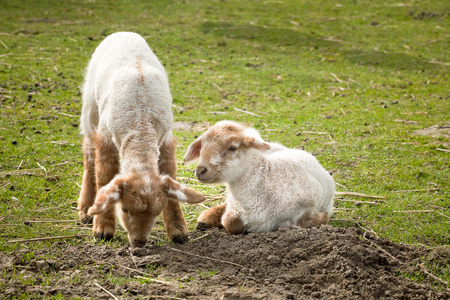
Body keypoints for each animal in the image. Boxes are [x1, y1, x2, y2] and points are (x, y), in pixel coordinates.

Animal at [78, 32, 206, 247]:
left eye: (157, 212)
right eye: (124, 208)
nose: (139, 242)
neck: (141, 126)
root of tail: (123, 32)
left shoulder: (165, 139)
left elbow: (170, 174)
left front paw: (178, 231)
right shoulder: (105, 136)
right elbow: (104, 176)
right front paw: (102, 228)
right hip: (90, 109)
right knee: (89, 152)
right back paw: (86, 208)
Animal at [183, 120, 334, 233]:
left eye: (232, 148)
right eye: (202, 146)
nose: (200, 170)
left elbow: (312, 220)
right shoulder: (234, 206)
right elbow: (229, 221)